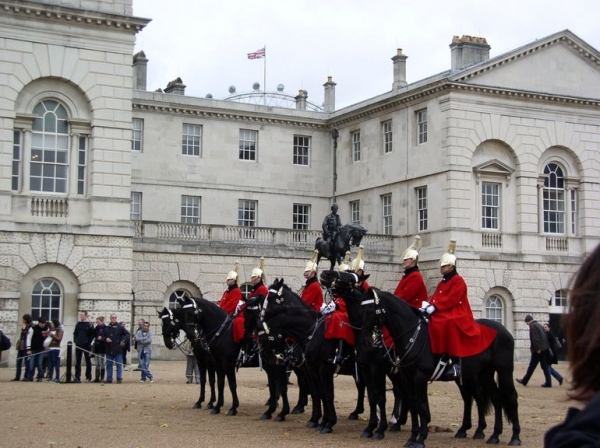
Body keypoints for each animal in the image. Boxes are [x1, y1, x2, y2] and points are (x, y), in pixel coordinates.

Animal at [324, 270, 520, 448]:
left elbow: (412, 404)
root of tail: (503, 330)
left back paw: (513, 437)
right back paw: (487, 433)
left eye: (349, 277)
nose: (325, 274)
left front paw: (403, 435)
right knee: (489, 398)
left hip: (502, 371)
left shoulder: (402, 374)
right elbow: (406, 403)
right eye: (362, 309)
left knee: (507, 397)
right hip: (480, 373)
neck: (410, 333)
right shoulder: (391, 373)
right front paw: (409, 436)